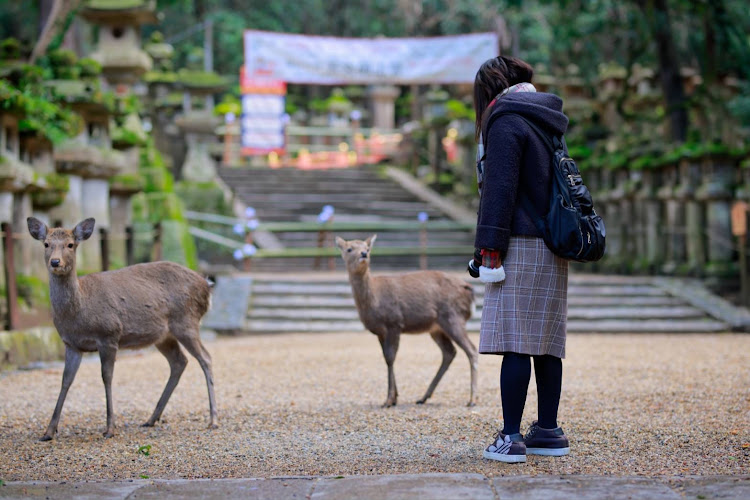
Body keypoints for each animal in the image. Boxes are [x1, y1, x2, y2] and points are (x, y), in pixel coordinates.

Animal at [26, 217, 219, 440]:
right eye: (46, 244)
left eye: (70, 245)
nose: (55, 262)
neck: (79, 311)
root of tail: (206, 284)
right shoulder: (71, 344)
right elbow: (66, 380)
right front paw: (48, 431)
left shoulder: (109, 335)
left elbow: (107, 377)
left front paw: (110, 428)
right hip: (164, 336)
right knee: (179, 361)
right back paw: (151, 419)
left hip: (187, 322)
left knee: (206, 358)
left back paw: (213, 420)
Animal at [336, 234, 478, 406]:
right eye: (349, 249)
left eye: (367, 248)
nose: (363, 254)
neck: (373, 300)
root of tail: (470, 290)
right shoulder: (380, 331)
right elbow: (386, 357)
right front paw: (394, 397)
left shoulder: (394, 322)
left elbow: (391, 357)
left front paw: (389, 399)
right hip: (436, 328)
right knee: (449, 352)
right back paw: (423, 397)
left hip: (453, 317)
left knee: (471, 349)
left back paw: (472, 399)